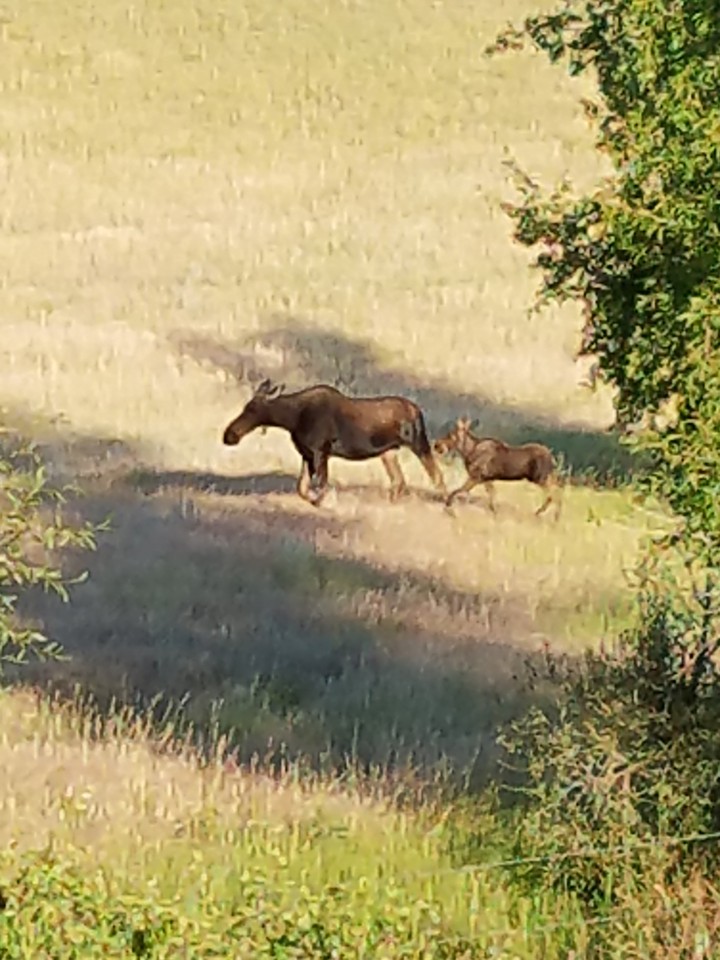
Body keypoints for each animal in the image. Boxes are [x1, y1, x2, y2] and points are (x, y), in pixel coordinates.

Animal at [222, 378, 448, 506]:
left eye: (252, 408)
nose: (229, 435)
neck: (292, 419)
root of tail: (418, 410)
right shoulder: (307, 454)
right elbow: (302, 487)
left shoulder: (321, 451)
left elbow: (320, 484)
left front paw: (324, 501)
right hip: (388, 452)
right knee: (399, 481)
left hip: (419, 443)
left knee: (437, 475)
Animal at [433, 417, 562, 519]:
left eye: (450, 435)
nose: (436, 445)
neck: (467, 452)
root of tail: (551, 458)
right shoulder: (486, 479)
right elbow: (492, 497)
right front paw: (495, 513)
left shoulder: (475, 477)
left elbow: (456, 491)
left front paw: (448, 505)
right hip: (545, 477)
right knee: (556, 490)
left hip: (540, 478)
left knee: (554, 494)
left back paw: (551, 516)